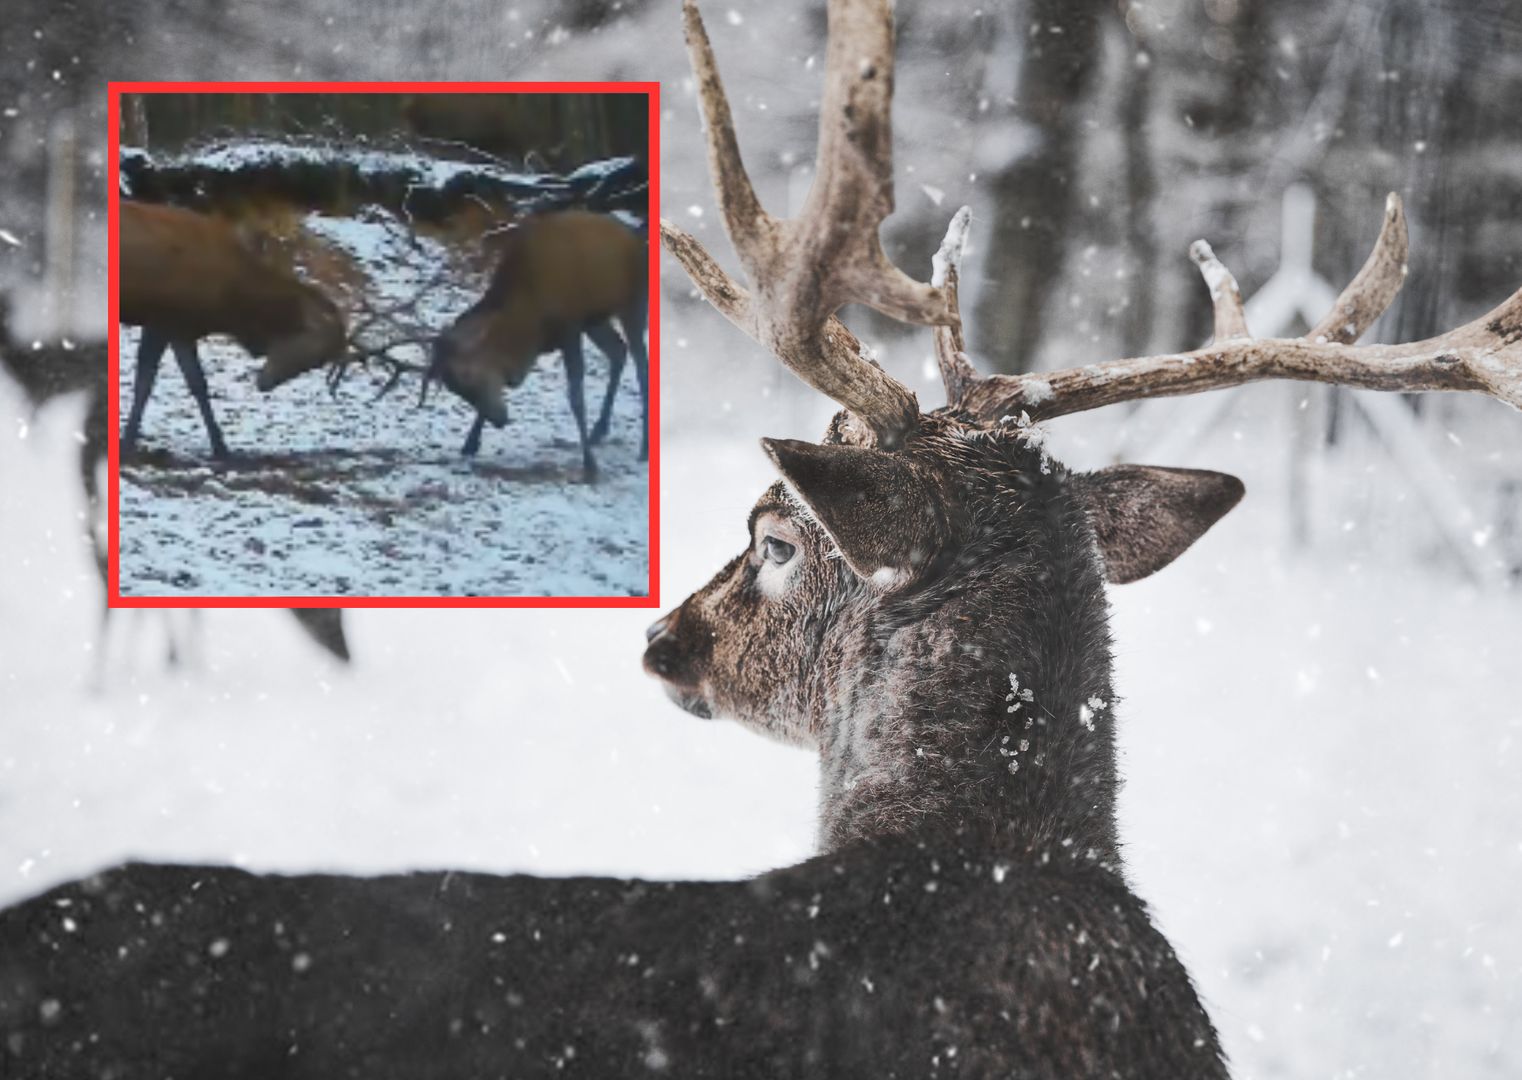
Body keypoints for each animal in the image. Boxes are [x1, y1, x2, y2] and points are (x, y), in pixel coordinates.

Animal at [119, 200, 348, 459]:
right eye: (313, 348)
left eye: (318, 362)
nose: (264, 384)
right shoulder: (162, 318)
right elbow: (145, 382)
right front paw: (127, 441)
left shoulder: (183, 328)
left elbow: (198, 384)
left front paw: (221, 448)